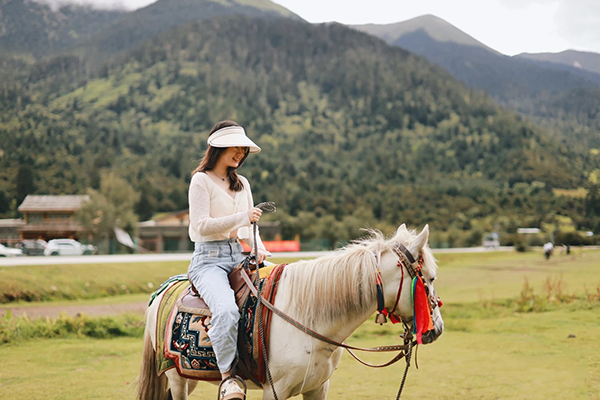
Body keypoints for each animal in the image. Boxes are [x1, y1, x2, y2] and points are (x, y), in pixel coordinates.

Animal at [138, 223, 442, 398]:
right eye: (430, 278)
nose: (436, 329)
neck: (308, 318)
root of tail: (165, 289)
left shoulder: (318, 388)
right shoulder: (275, 391)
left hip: (190, 376)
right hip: (176, 378)